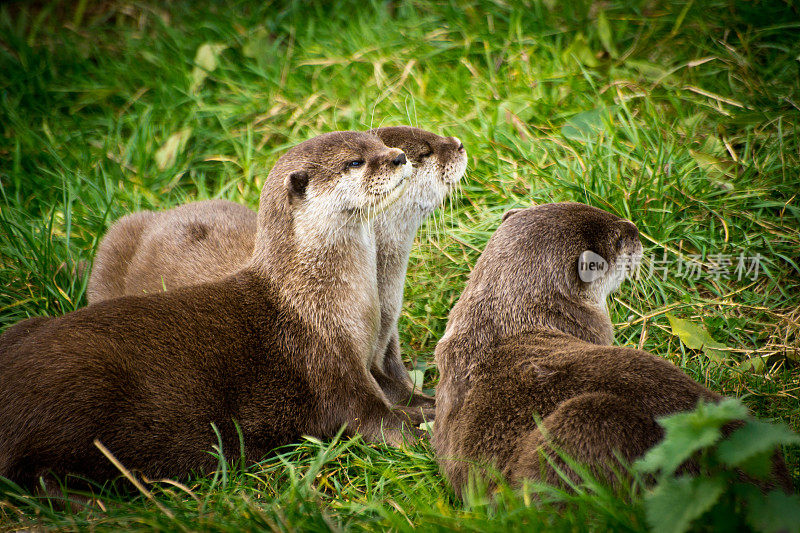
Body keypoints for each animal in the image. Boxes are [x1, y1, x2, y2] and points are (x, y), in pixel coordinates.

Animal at [0, 130, 424, 490]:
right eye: (355, 161)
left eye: (380, 142)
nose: (399, 156)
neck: (320, 299)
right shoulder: (325, 361)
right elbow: (372, 419)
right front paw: (422, 434)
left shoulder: (365, 357)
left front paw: (426, 406)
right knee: (35, 476)